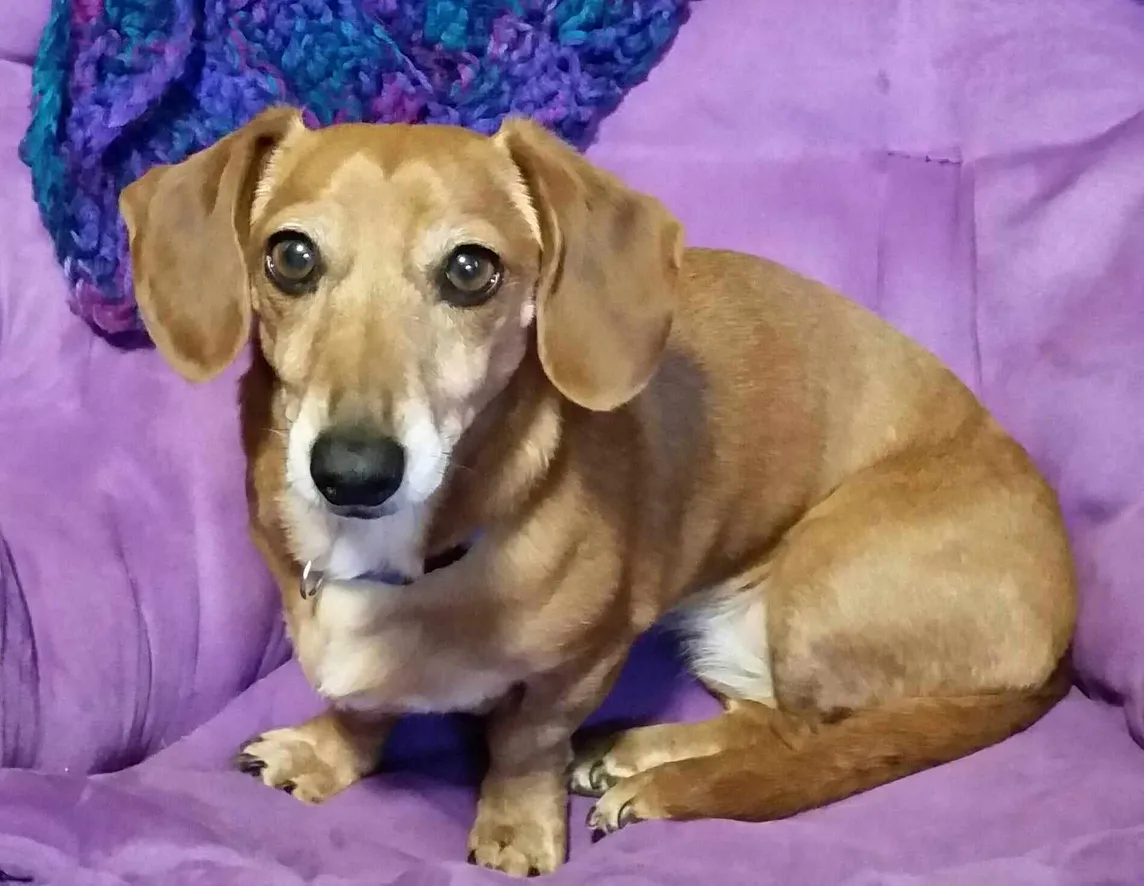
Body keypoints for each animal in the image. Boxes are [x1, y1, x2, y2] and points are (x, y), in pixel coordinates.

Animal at [120, 107, 1075, 879]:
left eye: (470, 270)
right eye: (289, 257)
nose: (352, 471)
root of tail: (1059, 650)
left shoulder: (589, 657)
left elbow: (525, 742)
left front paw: (516, 830)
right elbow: (363, 706)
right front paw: (324, 754)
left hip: (820, 575)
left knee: (813, 745)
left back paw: (660, 781)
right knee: (769, 722)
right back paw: (638, 750)